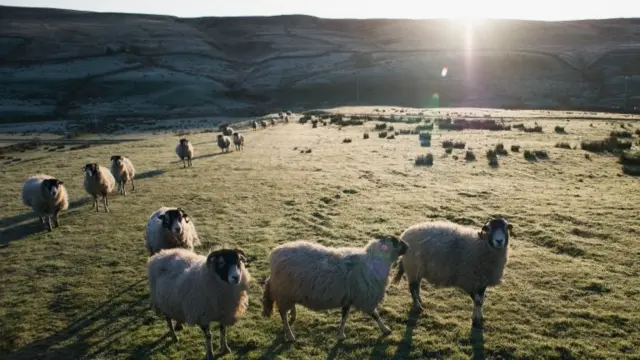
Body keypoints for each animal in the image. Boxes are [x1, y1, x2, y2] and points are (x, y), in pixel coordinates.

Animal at [262, 235, 408, 342]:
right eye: (396, 241)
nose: (408, 245)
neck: (375, 262)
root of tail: (274, 254)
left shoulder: (349, 298)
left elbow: (344, 316)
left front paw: (341, 334)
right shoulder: (365, 298)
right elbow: (375, 315)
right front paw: (386, 329)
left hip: (289, 293)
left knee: (288, 309)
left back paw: (293, 316)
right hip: (283, 293)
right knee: (283, 315)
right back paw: (290, 335)